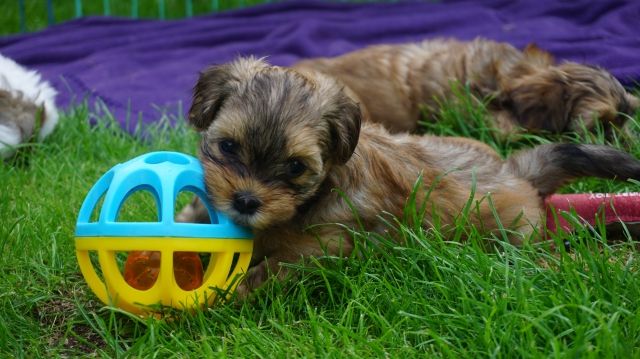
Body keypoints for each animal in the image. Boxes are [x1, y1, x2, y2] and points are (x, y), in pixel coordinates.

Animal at [181, 57, 640, 296]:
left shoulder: (324, 247)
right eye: (228, 147)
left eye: (295, 167)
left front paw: (223, 298)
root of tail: (518, 173)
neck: (304, 204)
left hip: (512, 236)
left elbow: (267, 271)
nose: (246, 201)